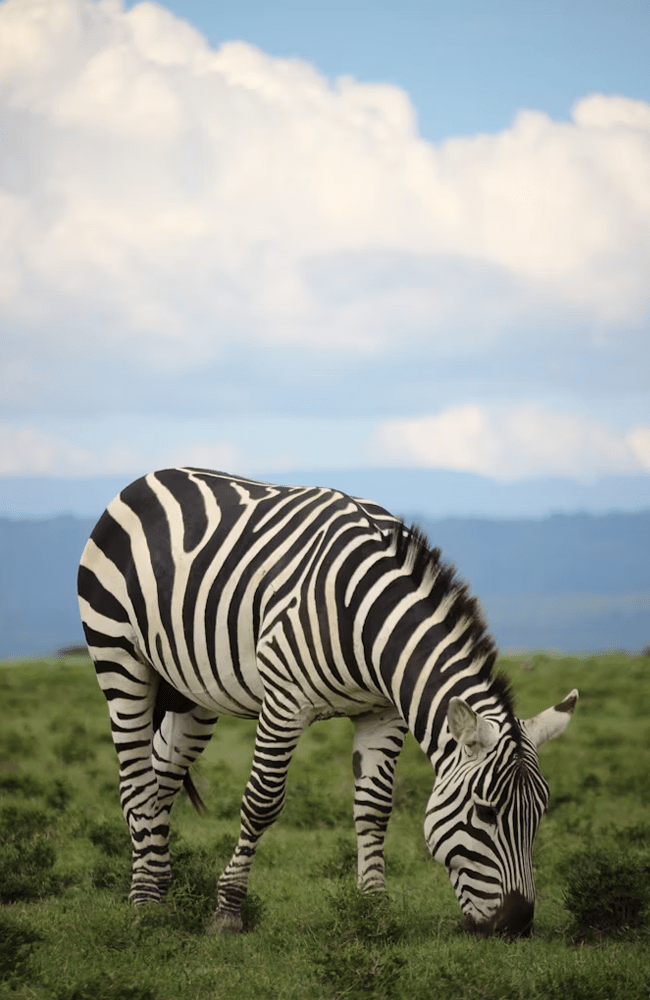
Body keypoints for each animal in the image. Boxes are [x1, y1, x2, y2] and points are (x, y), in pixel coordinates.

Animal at [77, 467, 578, 937]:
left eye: (540, 813)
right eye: (486, 812)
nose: (517, 924)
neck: (369, 621)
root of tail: (150, 477)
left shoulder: (382, 713)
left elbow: (375, 807)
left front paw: (374, 908)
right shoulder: (284, 702)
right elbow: (261, 803)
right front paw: (228, 911)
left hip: (192, 692)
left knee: (161, 777)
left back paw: (158, 884)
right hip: (119, 659)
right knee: (136, 783)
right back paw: (145, 902)